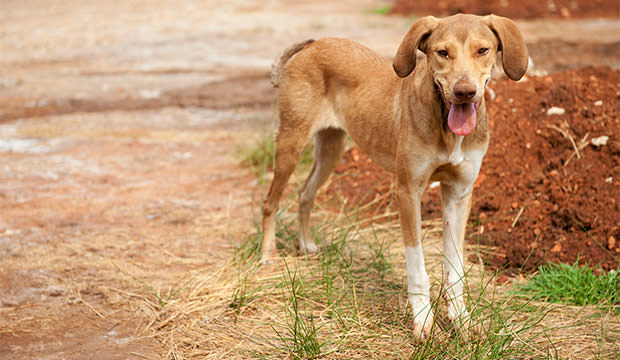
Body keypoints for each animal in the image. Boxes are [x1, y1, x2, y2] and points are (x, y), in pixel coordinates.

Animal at [262, 14, 528, 340]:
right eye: (442, 53)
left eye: (483, 50)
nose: (465, 91)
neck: (445, 127)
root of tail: (312, 46)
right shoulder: (408, 192)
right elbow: (417, 267)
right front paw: (423, 319)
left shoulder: (459, 192)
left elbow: (455, 269)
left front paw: (461, 320)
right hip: (291, 143)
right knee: (270, 201)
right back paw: (267, 254)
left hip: (331, 148)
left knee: (305, 194)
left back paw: (306, 244)